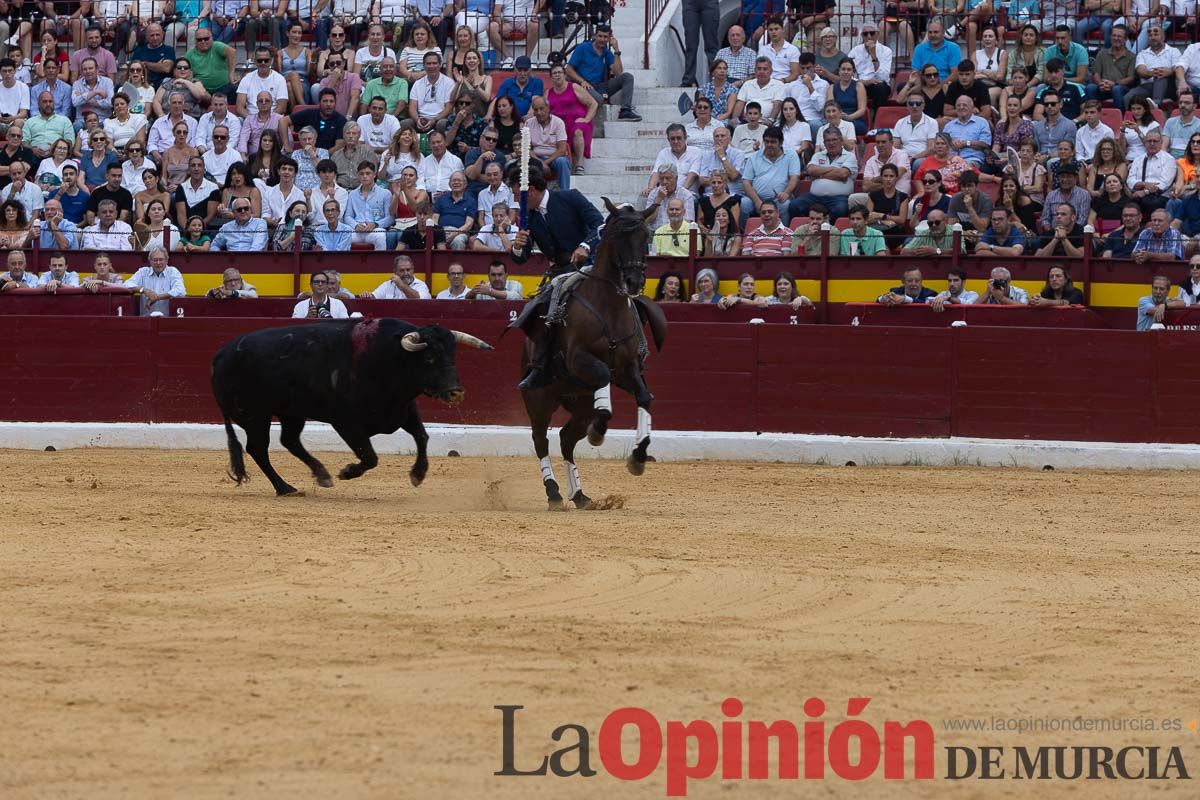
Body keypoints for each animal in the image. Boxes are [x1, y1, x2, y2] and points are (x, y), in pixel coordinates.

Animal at [210, 316, 487, 494]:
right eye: (429, 358)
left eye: (453, 355)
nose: (455, 393)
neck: (388, 358)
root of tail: (221, 354)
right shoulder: (346, 422)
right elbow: (370, 456)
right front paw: (347, 471)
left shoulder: (403, 410)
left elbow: (422, 436)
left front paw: (417, 475)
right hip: (255, 416)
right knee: (258, 449)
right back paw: (285, 488)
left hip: (291, 413)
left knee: (288, 440)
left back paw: (321, 475)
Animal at [518, 201, 667, 513]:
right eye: (618, 236)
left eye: (646, 236)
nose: (634, 281)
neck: (608, 306)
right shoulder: (579, 360)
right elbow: (602, 378)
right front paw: (599, 432)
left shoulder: (628, 369)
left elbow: (644, 397)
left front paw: (638, 458)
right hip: (539, 399)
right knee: (540, 440)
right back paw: (554, 493)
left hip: (580, 404)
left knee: (566, 440)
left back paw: (579, 495)